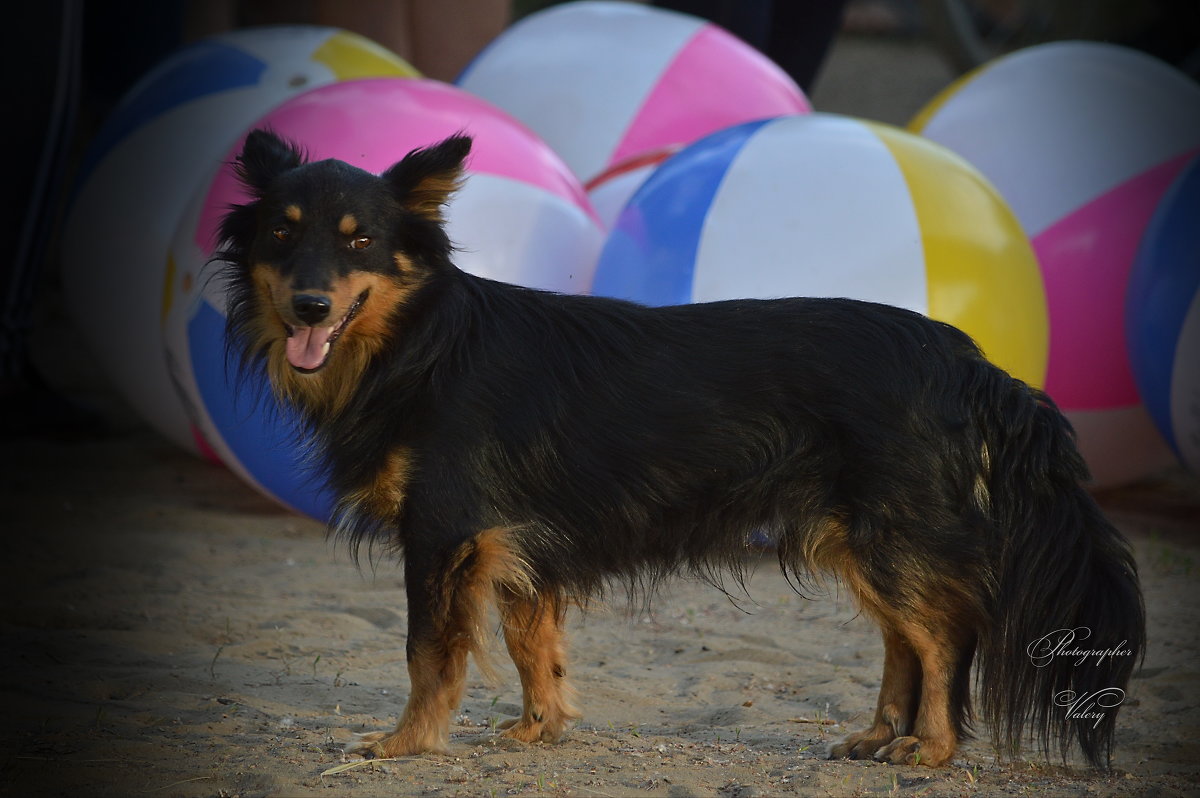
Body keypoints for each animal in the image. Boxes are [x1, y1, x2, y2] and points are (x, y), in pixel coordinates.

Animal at [216, 129, 1142, 768]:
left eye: (359, 241)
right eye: (282, 236)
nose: (307, 307)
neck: (420, 343)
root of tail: (969, 362)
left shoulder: (446, 533)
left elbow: (426, 656)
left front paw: (405, 744)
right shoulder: (514, 544)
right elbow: (531, 644)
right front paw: (538, 729)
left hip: (893, 535)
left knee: (946, 637)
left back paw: (934, 749)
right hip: (862, 539)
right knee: (904, 643)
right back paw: (878, 735)